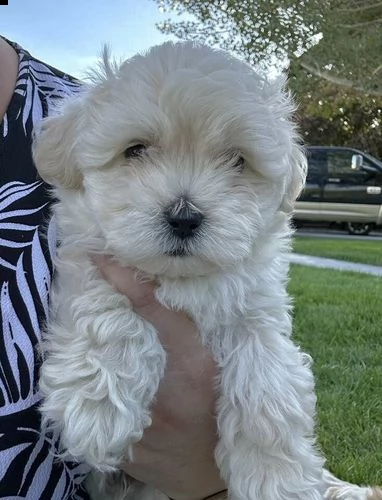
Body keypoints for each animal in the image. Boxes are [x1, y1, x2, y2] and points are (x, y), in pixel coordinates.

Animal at [32, 43, 380, 500]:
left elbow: (267, 375)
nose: (184, 217)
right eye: (135, 150)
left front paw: (275, 477)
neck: (183, 281)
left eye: (237, 160)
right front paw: (97, 409)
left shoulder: (258, 310)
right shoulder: (87, 262)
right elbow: (104, 309)